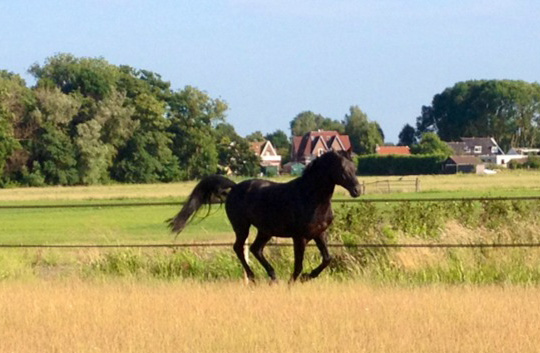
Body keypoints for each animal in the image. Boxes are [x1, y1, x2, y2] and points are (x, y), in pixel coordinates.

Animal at [168, 150, 362, 282]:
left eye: (354, 167)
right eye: (342, 168)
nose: (357, 190)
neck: (310, 197)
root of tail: (235, 187)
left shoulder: (319, 234)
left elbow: (327, 258)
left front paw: (308, 276)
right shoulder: (299, 237)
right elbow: (298, 265)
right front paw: (294, 282)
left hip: (265, 230)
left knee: (255, 249)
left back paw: (273, 276)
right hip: (242, 226)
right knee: (239, 248)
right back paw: (254, 277)